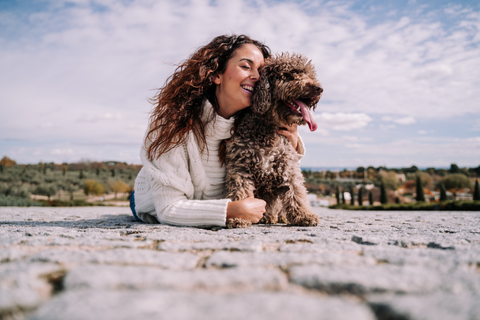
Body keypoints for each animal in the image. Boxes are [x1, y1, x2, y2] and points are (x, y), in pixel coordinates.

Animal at [225, 53, 322, 228]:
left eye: (309, 75)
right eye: (289, 74)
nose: (319, 88)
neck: (268, 130)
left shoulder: (289, 168)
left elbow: (296, 192)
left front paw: (304, 215)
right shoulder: (240, 167)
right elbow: (241, 192)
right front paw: (239, 217)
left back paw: (278, 217)